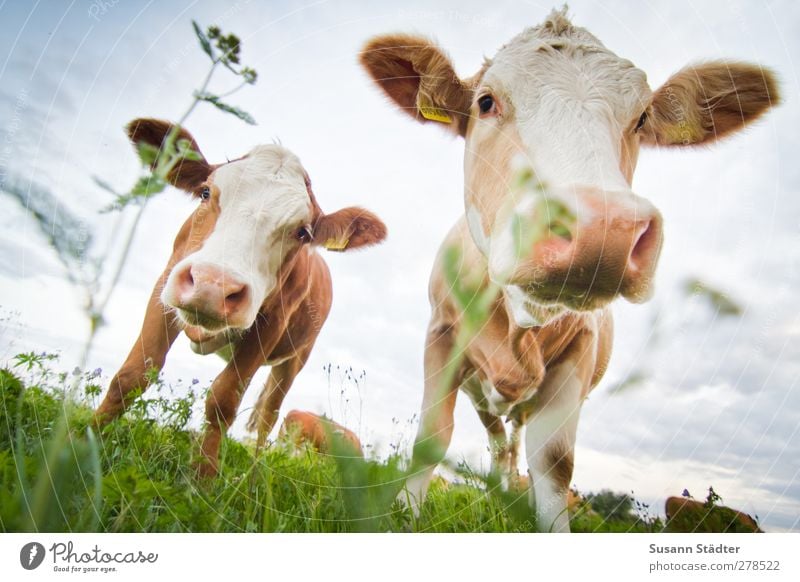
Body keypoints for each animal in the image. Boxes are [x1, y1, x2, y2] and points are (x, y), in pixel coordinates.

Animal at [94, 118, 388, 480]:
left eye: (302, 232)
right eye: (206, 192)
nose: (212, 286)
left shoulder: (269, 326)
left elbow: (223, 400)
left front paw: (202, 480)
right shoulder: (165, 285)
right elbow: (134, 374)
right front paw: (82, 438)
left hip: (294, 361)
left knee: (267, 417)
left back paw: (253, 475)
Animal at [360, 6, 780, 532]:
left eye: (642, 118)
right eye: (486, 102)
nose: (604, 228)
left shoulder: (579, 352)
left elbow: (554, 464)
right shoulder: (441, 333)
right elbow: (433, 434)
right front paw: (404, 515)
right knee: (498, 443)